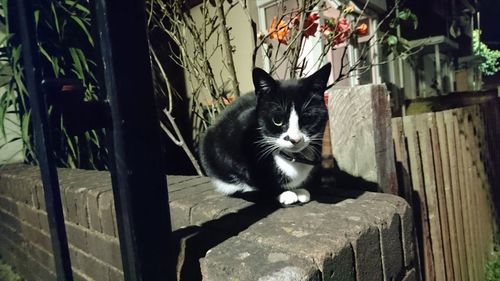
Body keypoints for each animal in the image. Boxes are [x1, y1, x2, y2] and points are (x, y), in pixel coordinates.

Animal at [199, 63, 332, 205]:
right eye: (277, 120)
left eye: (307, 118)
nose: (294, 139)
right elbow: (254, 181)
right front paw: (284, 193)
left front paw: (299, 190)